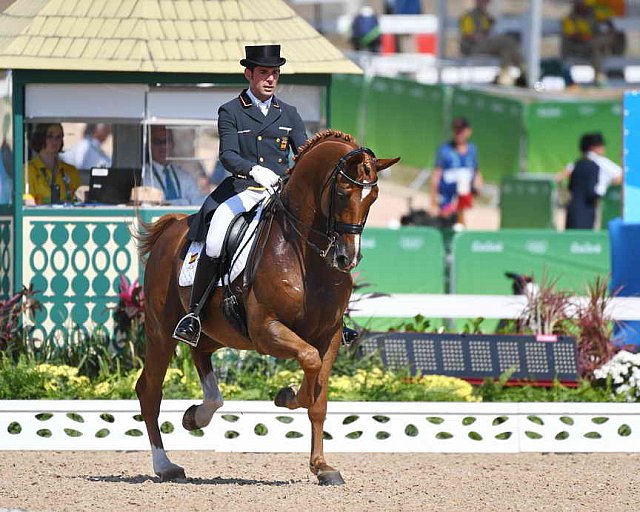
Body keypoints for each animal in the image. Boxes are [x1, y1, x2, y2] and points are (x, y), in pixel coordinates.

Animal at [135, 131, 398, 484]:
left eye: (374, 197)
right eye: (344, 193)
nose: (347, 259)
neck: (306, 256)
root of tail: (173, 226)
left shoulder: (329, 336)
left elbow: (318, 400)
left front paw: (322, 467)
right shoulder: (266, 331)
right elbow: (310, 364)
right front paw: (287, 395)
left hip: (217, 332)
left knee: (200, 354)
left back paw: (197, 416)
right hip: (161, 332)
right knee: (149, 390)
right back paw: (165, 465)